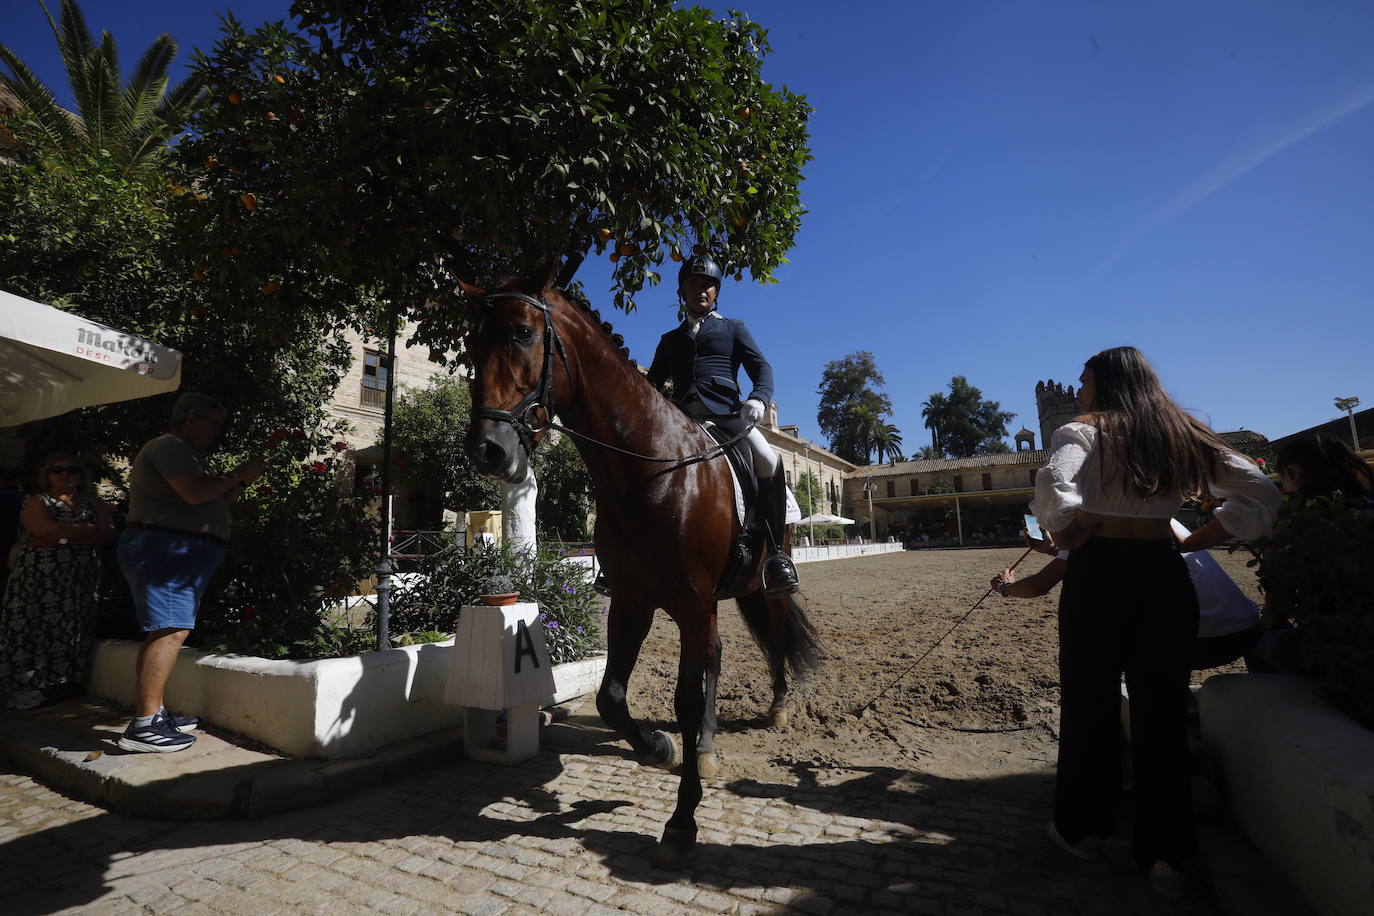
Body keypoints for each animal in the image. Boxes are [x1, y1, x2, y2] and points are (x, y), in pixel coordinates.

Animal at [461, 260, 824, 862]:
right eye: (471, 341)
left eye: (522, 333)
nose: (488, 449)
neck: (647, 469)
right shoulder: (633, 600)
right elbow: (611, 697)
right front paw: (659, 748)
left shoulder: (692, 602)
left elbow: (683, 698)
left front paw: (682, 818)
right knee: (719, 657)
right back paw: (705, 744)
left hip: (761, 581)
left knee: (773, 636)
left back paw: (776, 707)